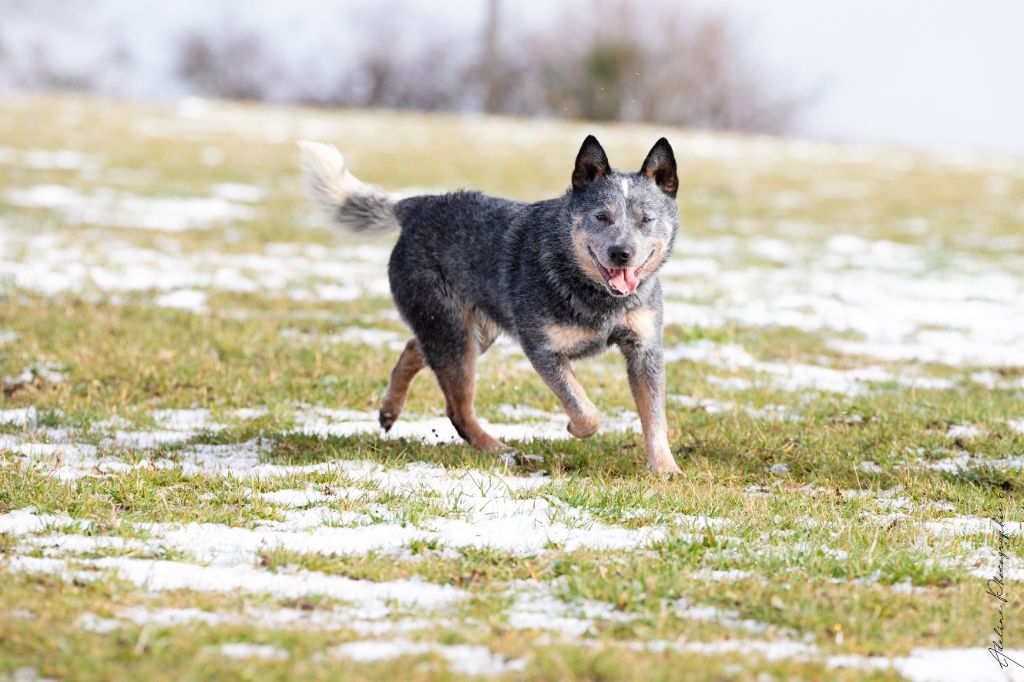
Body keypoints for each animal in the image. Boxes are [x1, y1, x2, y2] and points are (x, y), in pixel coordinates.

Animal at [299, 135, 682, 474]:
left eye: (645, 219)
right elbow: (586, 410)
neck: (598, 298)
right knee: (457, 407)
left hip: (473, 331)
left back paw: (390, 410)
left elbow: (655, 417)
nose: (621, 252)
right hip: (452, 331)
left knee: (413, 348)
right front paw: (575, 428)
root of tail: (417, 206)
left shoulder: (645, 348)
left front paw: (666, 469)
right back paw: (498, 450)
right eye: (602, 216)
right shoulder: (543, 349)